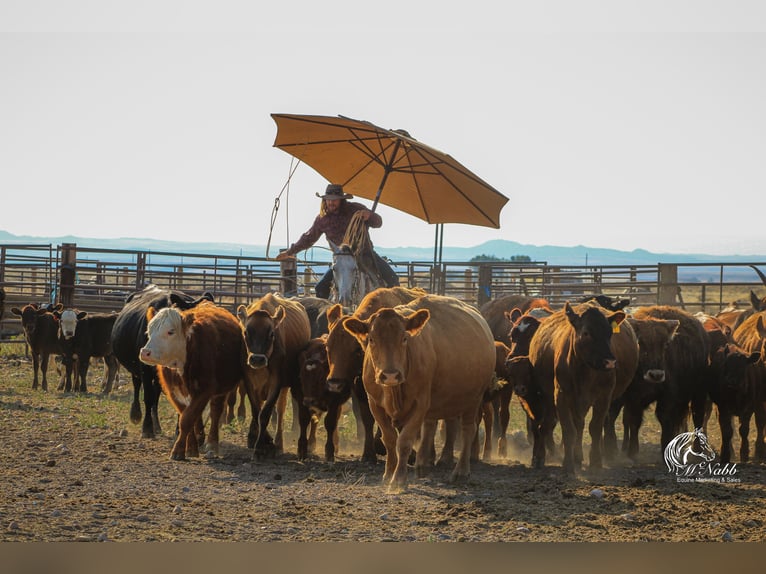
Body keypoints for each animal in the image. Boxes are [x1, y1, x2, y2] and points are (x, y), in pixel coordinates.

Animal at [110, 288, 213, 440]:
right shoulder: (145, 368)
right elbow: (147, 396)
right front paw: (147, 428)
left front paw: (178, 431)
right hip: (137, 368)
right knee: (138, 386)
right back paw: (136, 414)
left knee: (156, 394)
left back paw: (157, 425)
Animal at [138, 304, 255, 462]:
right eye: (149, 330)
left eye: (170, 332)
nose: (145, 352)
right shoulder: (173, 393)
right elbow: (187, 416)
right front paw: (191, 448)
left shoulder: (204, 390)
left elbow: (187, 419)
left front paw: (178, 450)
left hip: (220, 390)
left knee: (215, 411)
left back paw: (212, 444)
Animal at [238, 294, 314, 462]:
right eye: (246, 332)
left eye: (271, 334)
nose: (257, 359)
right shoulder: (249, 381)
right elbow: (257, 411)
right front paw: (260, 441)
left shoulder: (276, 382)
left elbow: (265, 413)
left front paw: (262, 447)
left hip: (285, 387)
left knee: (280, 410)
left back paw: (279, 444)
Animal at [344, 294, 498, 492]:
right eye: (371, 339)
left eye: (404, 338)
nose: (390, 374)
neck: (394, 391)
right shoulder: (375, 404)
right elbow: (390, 439)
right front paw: (388, 474)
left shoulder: (419, 404)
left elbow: (404, 441)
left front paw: (398, 479)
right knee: (433, 426)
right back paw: (422, 465)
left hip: (473, 399)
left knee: (467, 430)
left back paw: (461, 472)